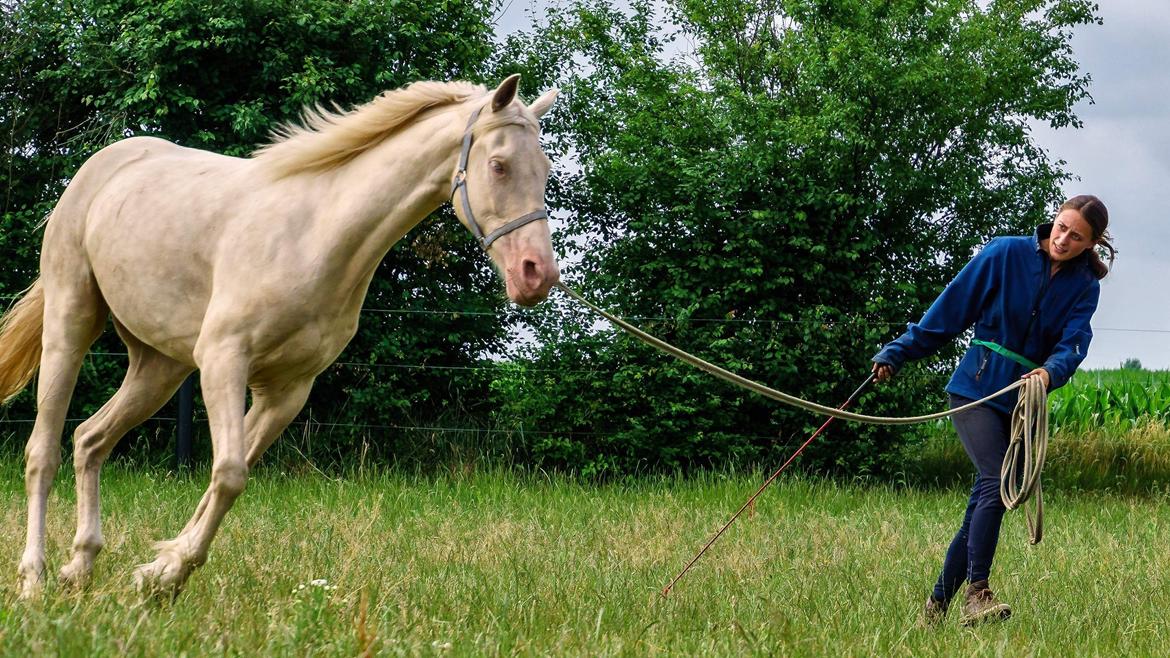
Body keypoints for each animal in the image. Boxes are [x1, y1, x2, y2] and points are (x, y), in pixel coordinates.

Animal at [0, 74, 561, 597]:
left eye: (547, 170)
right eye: (499, 165)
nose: (536, 275)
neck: (317, 234)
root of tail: (102, 165)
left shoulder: (287, 390)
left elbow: (224, 481)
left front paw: (158, 571)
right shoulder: (224, 359)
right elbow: (229, 473)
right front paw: (166, 574)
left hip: (158, 366)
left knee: (89, 439)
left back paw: (80, 567)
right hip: (71, 324)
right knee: (43, 452)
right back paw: (34, 580)